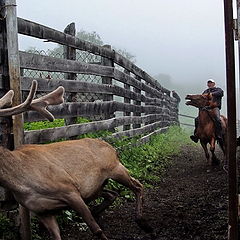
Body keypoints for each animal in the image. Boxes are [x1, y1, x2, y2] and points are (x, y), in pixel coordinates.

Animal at [0, 81, 151, 240]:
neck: (22, 184)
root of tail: (112, 148)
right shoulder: (42, 211)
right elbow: (57, 236)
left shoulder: (70, 190)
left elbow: (96, 229)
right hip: (97, 187)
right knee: (113, 194)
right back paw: (100, 211)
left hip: (116, 168)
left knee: (138, 185)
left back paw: (143, 223)